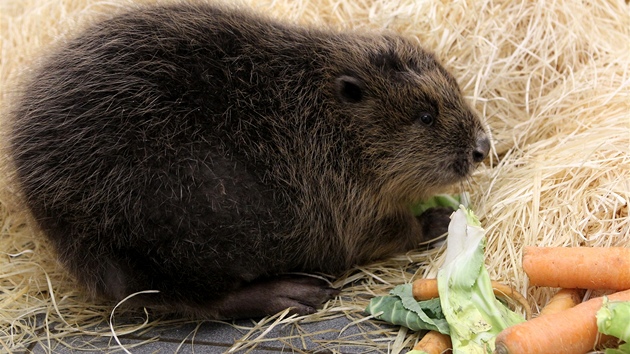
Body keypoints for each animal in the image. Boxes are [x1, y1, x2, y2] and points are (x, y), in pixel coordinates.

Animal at [9, 1, 494, 320]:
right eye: (425, 115)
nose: (481, 147)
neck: (323, 116)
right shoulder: (337, 193)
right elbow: (377, 235)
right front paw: (438, 219)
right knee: (192, 298)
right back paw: (295, 293)